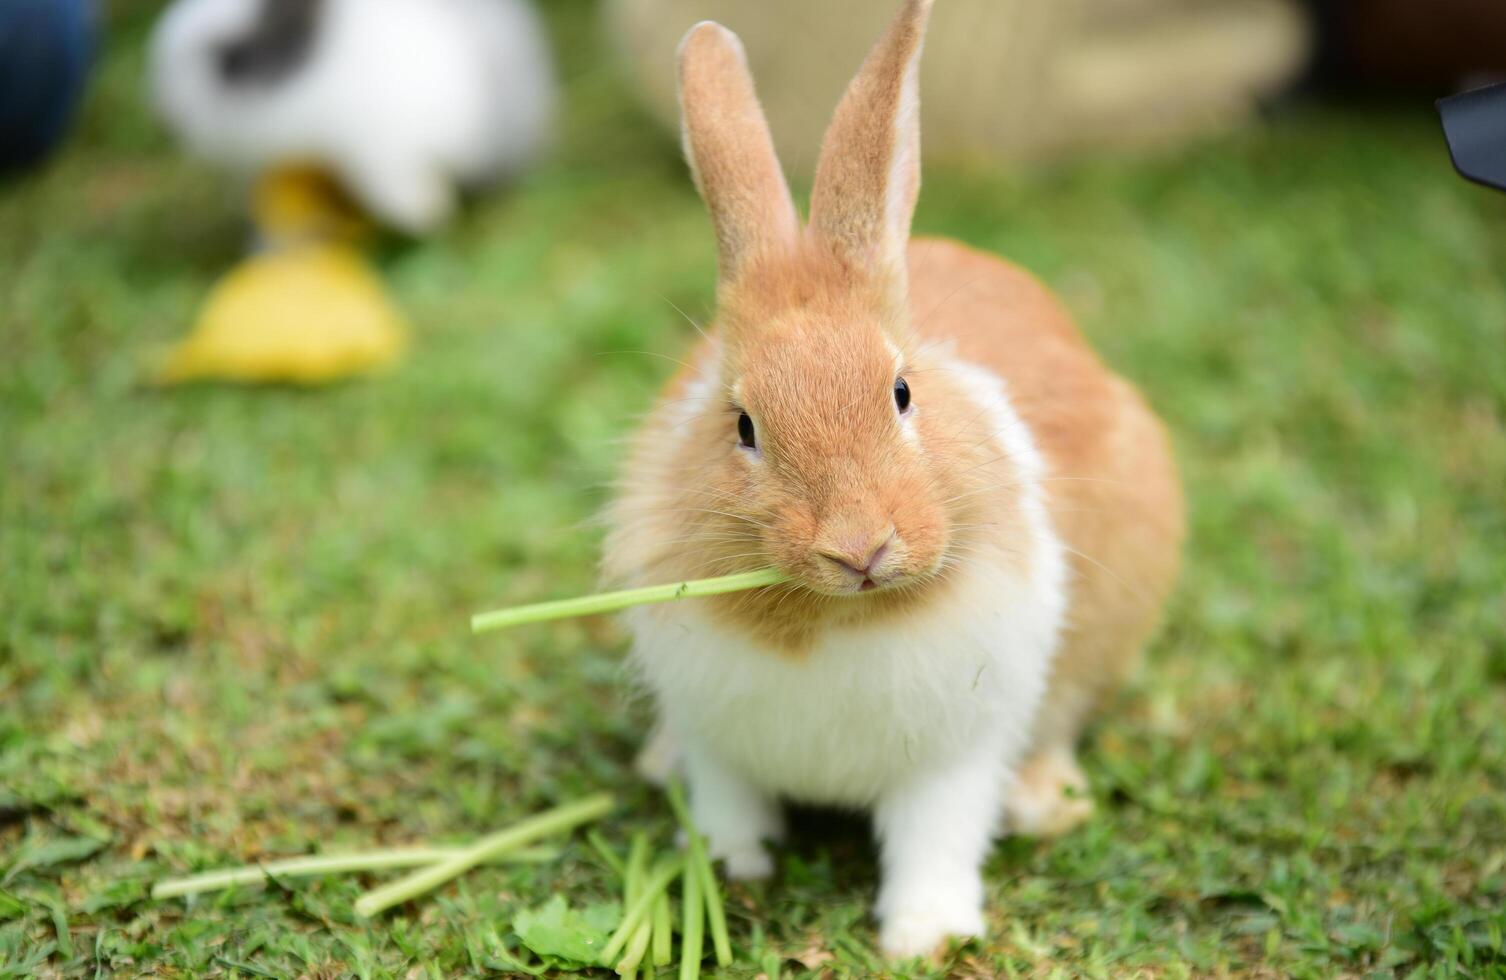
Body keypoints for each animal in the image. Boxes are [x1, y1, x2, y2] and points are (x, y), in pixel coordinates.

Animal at [596, 0, 1174, 957]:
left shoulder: (953, 757)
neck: (836, 618)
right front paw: (730, 867)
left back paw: (1044, 802)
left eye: (902, 393)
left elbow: (936, 838)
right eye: (742, 425)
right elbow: (729, 802)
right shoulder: (722, 740)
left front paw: (925, 937)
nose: (858, 547)